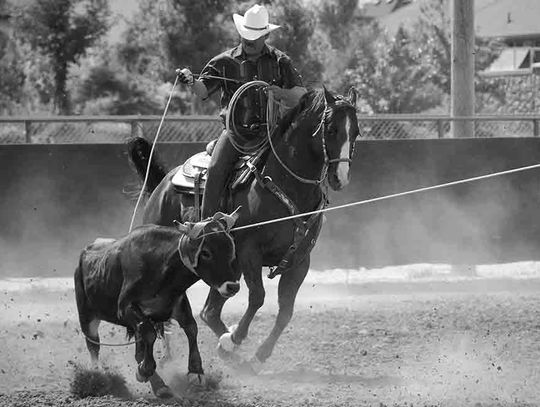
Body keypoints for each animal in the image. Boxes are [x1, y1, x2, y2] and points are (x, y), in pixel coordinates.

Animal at [74, 210, 240, 398]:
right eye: (205, 252)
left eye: (231, 248)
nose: (233, 286)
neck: (160, 266)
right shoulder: (125, 308)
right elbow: (149, 333)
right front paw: (144, 370)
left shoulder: (178, 305)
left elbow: (191, 328)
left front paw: (195, 371)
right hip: (87, 316)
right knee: (93, 346)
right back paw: (98, 377)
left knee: (138, 351)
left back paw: (159, 385)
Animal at [126, 86, 358, 372]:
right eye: (332, 129)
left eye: (356, 131)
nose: (340, 178)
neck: (287, 186)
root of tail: (164, 183)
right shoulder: (250, 252)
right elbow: (258, 296)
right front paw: (234, 339)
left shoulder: (300, 260)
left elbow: (286, 310)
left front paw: (256, 355)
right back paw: (169, 354)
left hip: (224, 268)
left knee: (209, 312)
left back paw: (227, 353)